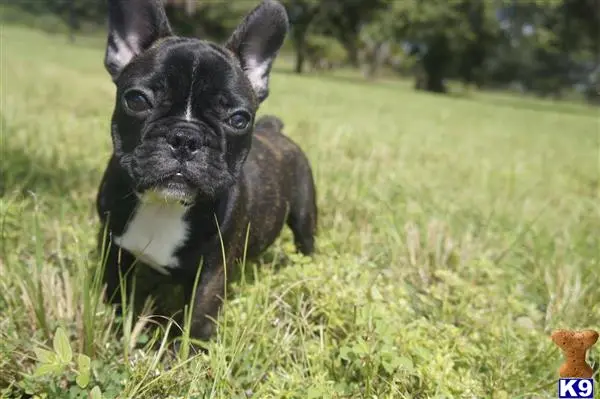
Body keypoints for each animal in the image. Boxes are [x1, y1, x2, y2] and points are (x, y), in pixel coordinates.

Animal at [96, 0, 316, 342]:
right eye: (137, 100)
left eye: (238, 119)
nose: (186, 138)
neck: (165, 205)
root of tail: (275, 130)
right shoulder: (115, 248)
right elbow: (116, 292)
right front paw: (116, 328)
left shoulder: (213, 271)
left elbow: (198, 319)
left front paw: (184, 353)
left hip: (304, 215)